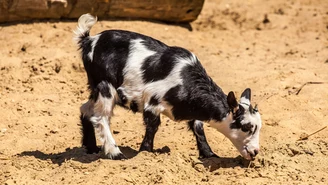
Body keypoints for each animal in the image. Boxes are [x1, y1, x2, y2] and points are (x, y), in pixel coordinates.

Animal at [73, 13, 262, 160]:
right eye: (246, 127)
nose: (255, 152)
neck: (186, 81)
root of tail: (89, 40)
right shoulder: (152, 100)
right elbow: (153, 126)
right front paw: (145, 153)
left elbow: (198, 127)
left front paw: (209, 154)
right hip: (105, 86)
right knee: (100, 117)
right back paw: (115, 153)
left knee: (85, 109)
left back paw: (91, 148)